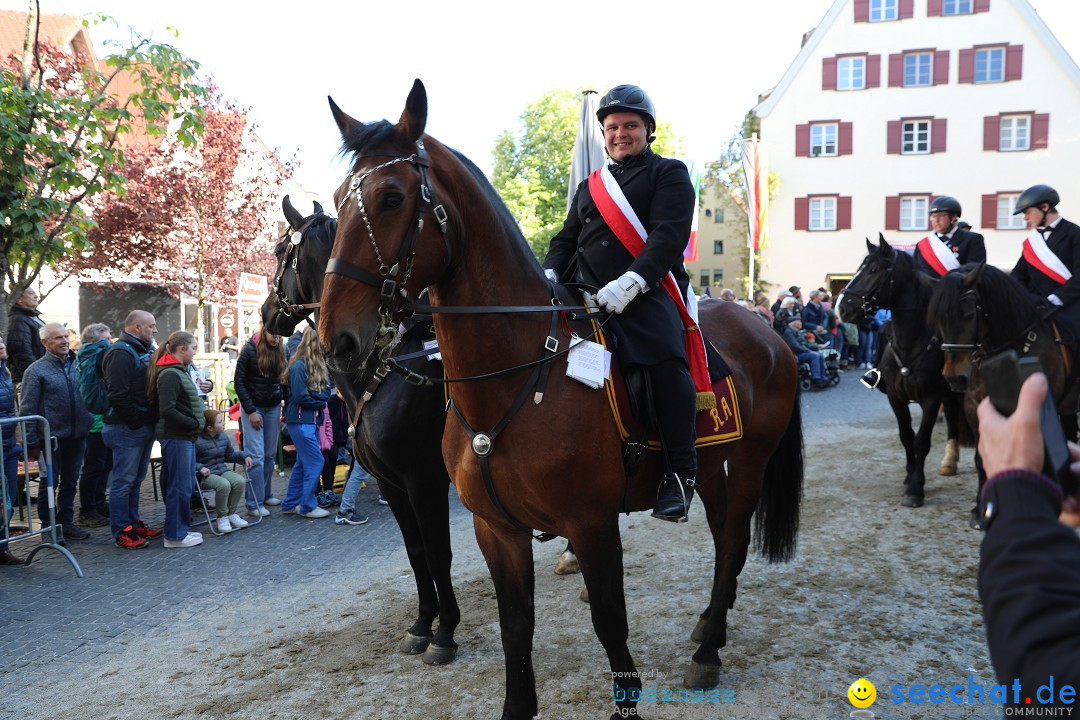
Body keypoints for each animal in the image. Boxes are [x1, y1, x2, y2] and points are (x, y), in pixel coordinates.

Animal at [265, 195, 464, 664]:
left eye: (279, 252)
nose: (264, 313)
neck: (384, 366)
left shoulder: (424, 481)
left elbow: (438, 553)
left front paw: (445, 630)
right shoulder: (393, 483)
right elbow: (416, 554)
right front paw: (422, 624)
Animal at [315, 80, 799, 720]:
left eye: (391, 198)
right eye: (338, 199)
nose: (336, 340)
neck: (513, 378)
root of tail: (769, 332)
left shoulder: (591, 525)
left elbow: (610, 625)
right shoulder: (496, 529)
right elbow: (514, 627)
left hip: (745, 467)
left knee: (733, 545)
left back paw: (707, 652)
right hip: (715, 466)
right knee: (727, 544)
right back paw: (706, 630)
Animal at [833, 235, 972, 507]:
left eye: (874, 270)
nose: (842, 309)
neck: (912, 342)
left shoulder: (931, 398)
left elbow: (922, 441)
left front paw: (916, 488)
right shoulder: (895, 397)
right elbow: (906, 436)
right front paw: (909, 478)